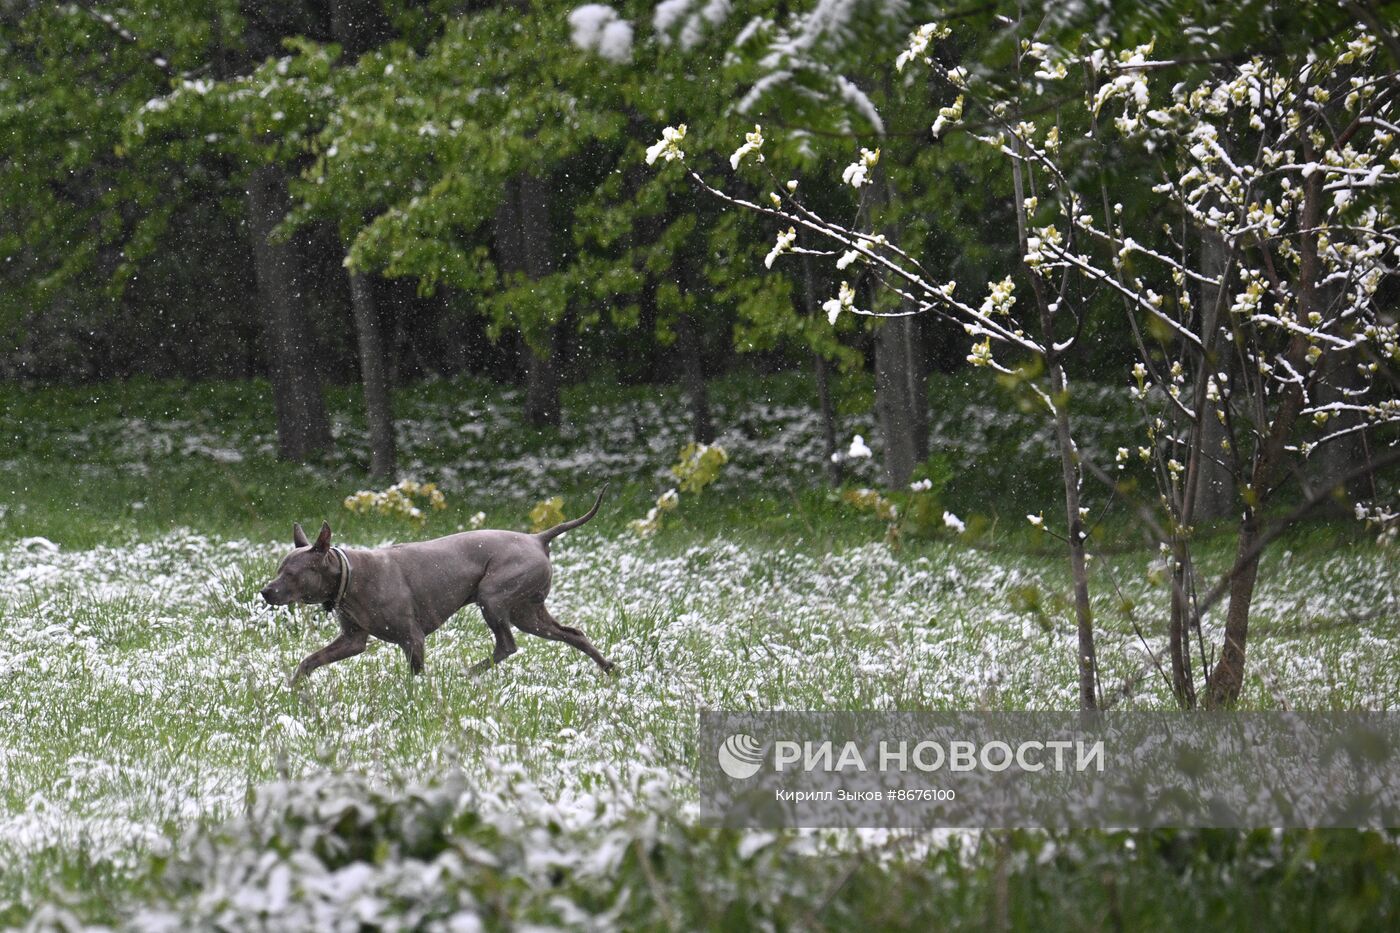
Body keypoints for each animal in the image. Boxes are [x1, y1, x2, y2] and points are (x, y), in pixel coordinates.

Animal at [263, 487, 613, 683]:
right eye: (279, 569)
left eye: (291, 573)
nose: (265, 591)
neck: (351, 576)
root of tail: (537, 538)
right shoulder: (352, 641)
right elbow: (310, 660)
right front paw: (293, 688)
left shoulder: (413, 639)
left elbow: (414, 675)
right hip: (528, 613)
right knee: (573, 634)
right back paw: (609, 668)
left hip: (493, 598)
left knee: (507, 645)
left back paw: (468, 674)